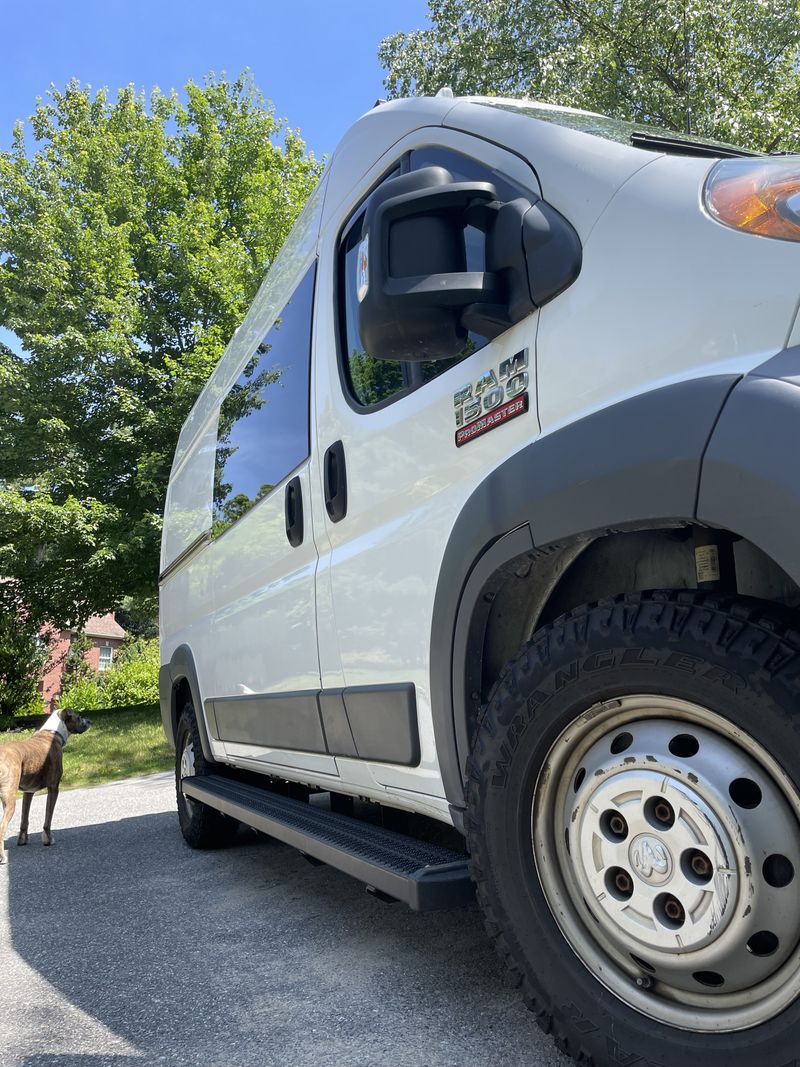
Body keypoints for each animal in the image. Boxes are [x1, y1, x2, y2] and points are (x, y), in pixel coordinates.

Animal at [0, 704, 91, 862]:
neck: (53, 733)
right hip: (9, 801)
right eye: (79, 717)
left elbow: (24, 819)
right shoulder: (53, 788)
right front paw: (48, 840)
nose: (89, 721)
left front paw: (22, 840)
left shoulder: (28, 792)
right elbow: (48, 818)